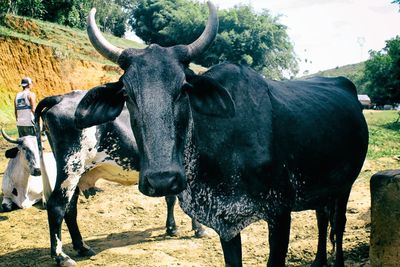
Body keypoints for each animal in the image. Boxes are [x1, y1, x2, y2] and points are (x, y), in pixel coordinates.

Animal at [33, 91, 205, 266]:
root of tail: (61, 97)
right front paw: (198, 229)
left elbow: (171, 198)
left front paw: (172, 228)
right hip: (71, 167)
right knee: (57, 206)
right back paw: (61, 256)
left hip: (76, 174)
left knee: (70, 208)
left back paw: (82, 247)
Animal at [75, 1, 368, 266]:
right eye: (127, 93)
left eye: (184, 88)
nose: (162, 180)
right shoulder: (226, 223)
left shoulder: (280, 213)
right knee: (322, 218)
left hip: (345, 185)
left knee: (337, 224)